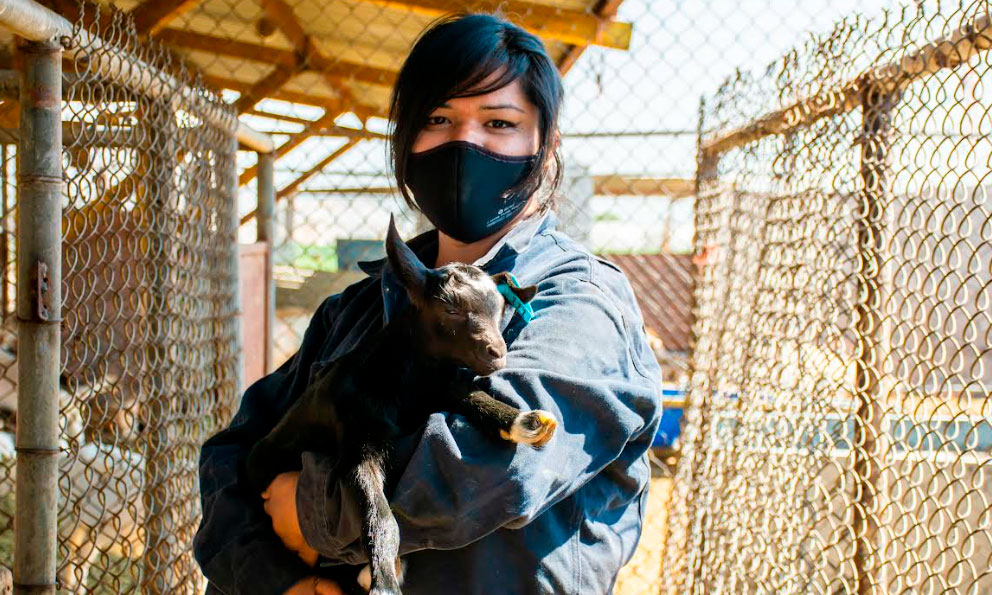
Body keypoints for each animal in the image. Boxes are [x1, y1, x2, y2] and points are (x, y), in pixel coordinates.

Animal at [244, 217, 560, 592]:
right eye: (450, 308)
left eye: (500, 311)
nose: (497, 354)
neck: (405, 383)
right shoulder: (358, 441)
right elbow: (381, 515)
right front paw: (384, 581)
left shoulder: (437, 389)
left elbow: (470, 395)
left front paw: (526, 422)